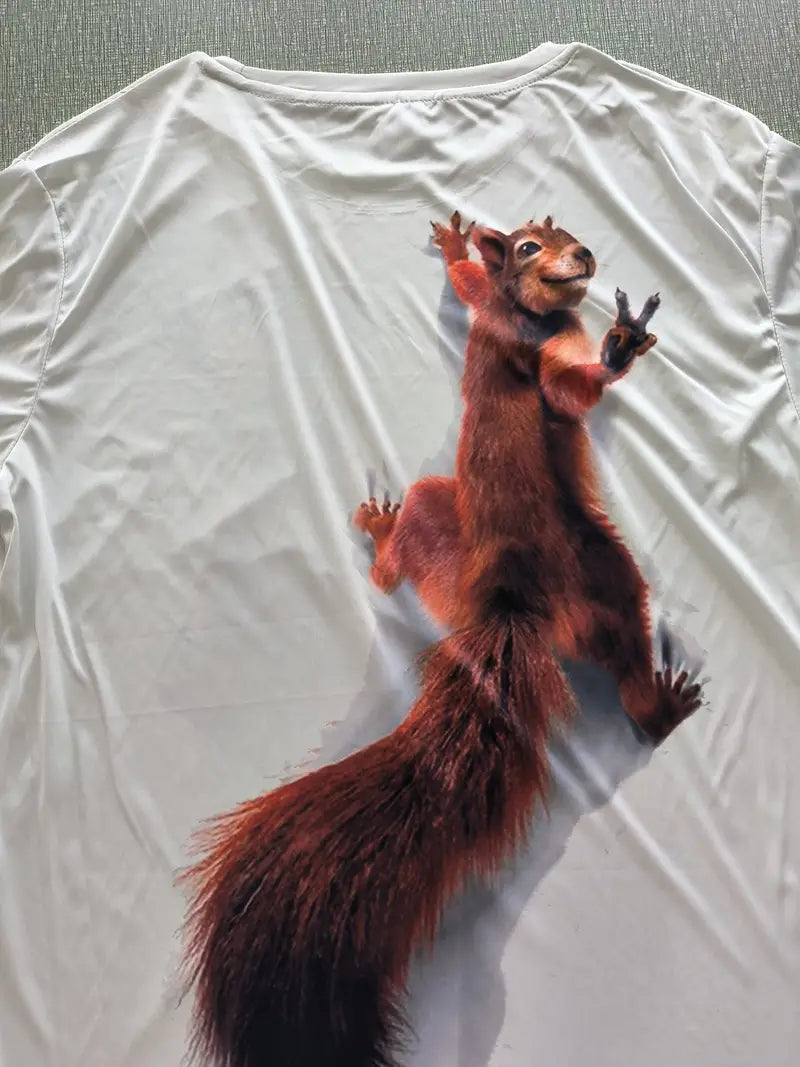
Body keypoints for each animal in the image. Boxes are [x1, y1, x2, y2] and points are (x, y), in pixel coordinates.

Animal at [180, 212, 703, 1067]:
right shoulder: (534, 349)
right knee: (616, 643)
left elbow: (467, 291)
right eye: (528, 245)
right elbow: (565, 386)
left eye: (566, 230)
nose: (586, 256)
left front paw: (460, 249)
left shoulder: (499, 317)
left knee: (405, 576)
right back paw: (656, 703)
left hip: (450, 563)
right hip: (588, 566)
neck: (525, 314)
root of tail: (505, 602)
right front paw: (618, 345)